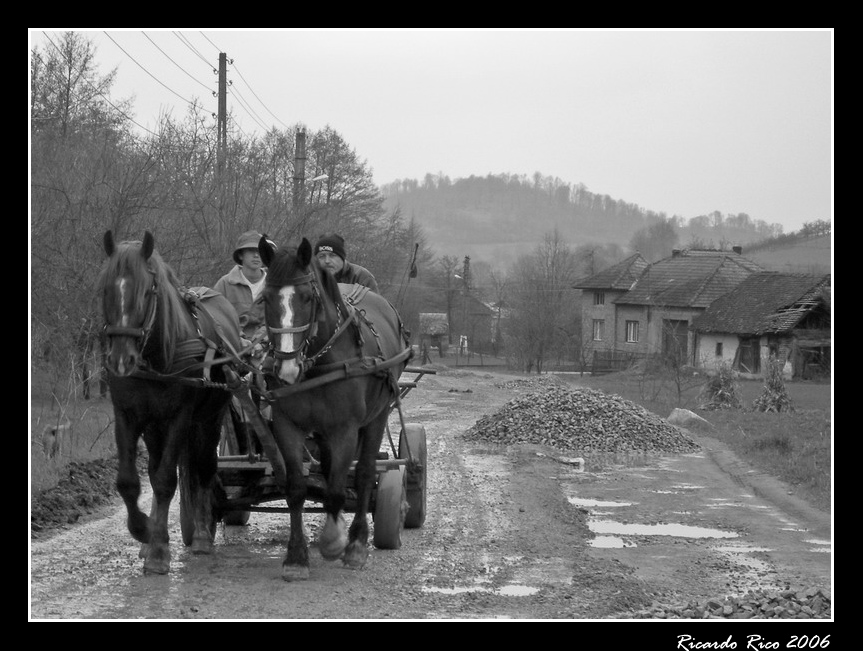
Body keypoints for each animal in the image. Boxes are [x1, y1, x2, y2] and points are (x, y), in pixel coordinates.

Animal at [98, 230, 243, 576]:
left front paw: (158, 551)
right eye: (105, 288)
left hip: (209, 418)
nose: (121, 360)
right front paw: (145, 531)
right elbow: (129, 481)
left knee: (204, 469)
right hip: (155, 427)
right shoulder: (127, 415)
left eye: (147, 290)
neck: (155, 356)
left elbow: (165, 481)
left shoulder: (180, 416)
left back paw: (202, 534)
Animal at [260, 236, 412, 580]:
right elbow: (297, 488)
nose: (286, 367)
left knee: (365, 473)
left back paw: (356, 544)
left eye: (306, 296)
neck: (318, 362)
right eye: (265, 298)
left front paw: (333, 541)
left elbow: (338, 489)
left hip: (376, 417)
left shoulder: (345, 429)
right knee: (330, 469)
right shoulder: (288, 425)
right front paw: (296, 557)